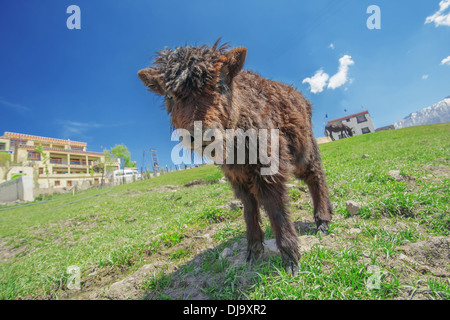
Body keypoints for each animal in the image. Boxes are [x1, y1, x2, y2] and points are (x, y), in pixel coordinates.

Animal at [139, 40, 332, 276]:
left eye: (220, 85)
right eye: (169, 95)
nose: (200, 133)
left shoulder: (269, 163)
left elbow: (275, 206)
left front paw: (291, 259)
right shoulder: (235, 175)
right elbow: (248, 207)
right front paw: (253, 251)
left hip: (304, 146)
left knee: (316, 175)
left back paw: (323, 220)